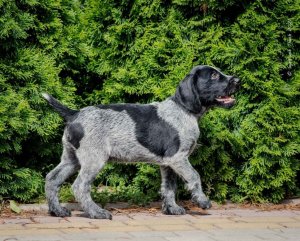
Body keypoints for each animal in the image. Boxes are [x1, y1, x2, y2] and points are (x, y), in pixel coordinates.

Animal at [42, 65, 239, 219]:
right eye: (213, 76)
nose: (238, 80)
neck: (184, 110)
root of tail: (74, 114)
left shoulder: (168, 164)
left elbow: (169, 188)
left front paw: (172, 208)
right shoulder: (178, 158)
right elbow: (194, 176)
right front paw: (202, 201)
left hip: (71, 159)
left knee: (52, 179)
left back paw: (57, 210)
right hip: (94, 159)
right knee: (80, 186)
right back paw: (96, 212)